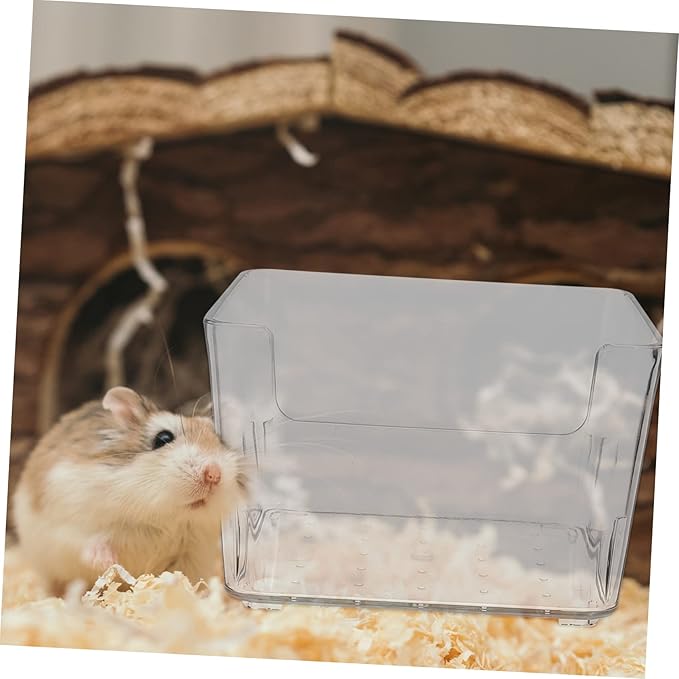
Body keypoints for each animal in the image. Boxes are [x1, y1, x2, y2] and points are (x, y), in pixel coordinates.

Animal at [12, 386, 249, 595]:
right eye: (163, 438)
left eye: (219, 441)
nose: (214, 474)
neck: (162, 516)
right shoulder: (69, 522)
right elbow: (88, 542)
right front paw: (108, 561)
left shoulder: (192, 553)